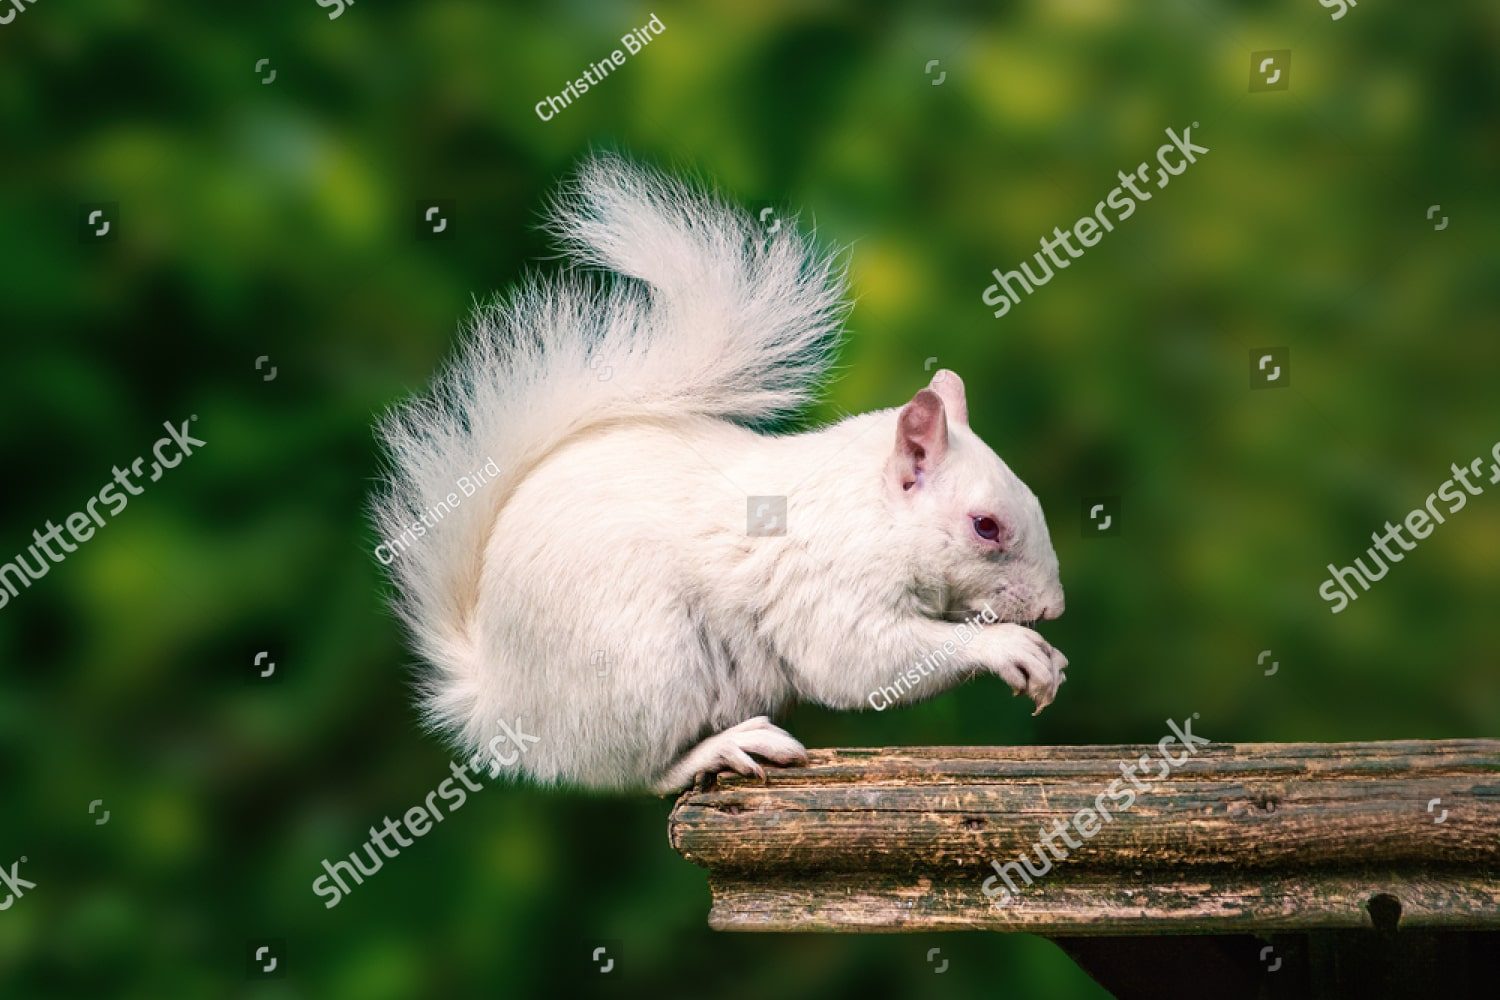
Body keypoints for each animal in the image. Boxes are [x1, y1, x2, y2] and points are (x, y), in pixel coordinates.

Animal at [374, 156, 1067, 794]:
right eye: (984, 526)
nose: (1053, 608)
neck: (866, 511)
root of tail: (503, 704)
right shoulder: (825, 589)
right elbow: (859, 660)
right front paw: (1010, 648)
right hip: (645, 667)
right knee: (641, 773)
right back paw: (726, 748)